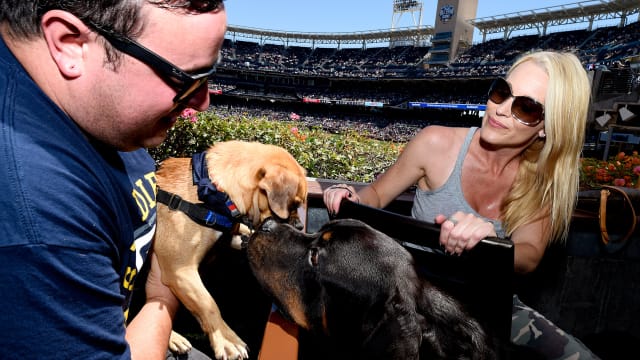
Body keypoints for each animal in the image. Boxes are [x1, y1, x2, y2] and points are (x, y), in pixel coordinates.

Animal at [154, 141, 306, 360]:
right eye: (293, 204)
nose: (301, 226)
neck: (212, 190)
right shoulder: (180, 270)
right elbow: (208, 304)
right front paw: (228, 341)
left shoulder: (231, 235)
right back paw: (174, 338)